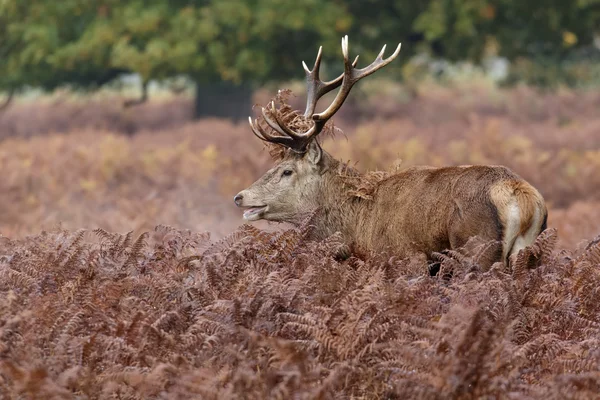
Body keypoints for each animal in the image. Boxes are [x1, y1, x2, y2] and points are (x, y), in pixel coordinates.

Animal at [234, 36, 548, 268]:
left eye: (287, 171)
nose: (240, 196)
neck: (359, 230)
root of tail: (522, 195)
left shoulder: (403, 258)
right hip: (530, 254)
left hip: (476, 250)